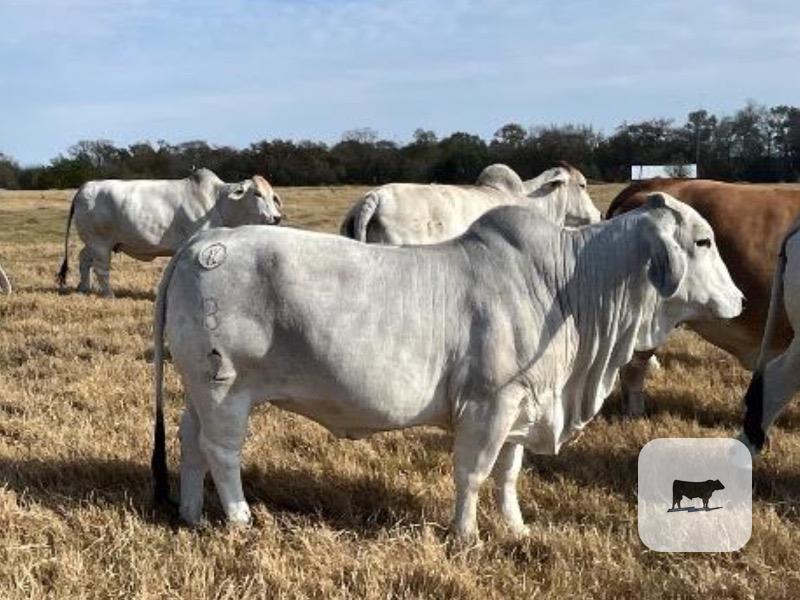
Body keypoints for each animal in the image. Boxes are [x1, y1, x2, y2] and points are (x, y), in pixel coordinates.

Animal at [56, 168, 283, 297]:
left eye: (273, 196)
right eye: (257, 193)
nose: (276, 218)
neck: (218, 202)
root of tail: (85, 187)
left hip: (92, 243)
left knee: (83, 260)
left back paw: (83, 288)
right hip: (101, 243)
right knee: (101, 269)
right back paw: (108, 295)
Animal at [150, 193, 741, 541]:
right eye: (704, 240)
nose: (738, 300)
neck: (566, 287)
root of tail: (204, 243)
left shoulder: (524, 405)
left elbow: (508, 474)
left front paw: (517, 529)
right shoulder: (490, 403)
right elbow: (473, 472)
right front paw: (467, 536)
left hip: (200, 387)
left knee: (188, 438)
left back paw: (190, 512)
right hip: (226, 387)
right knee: (222, 451)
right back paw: (242, 520)